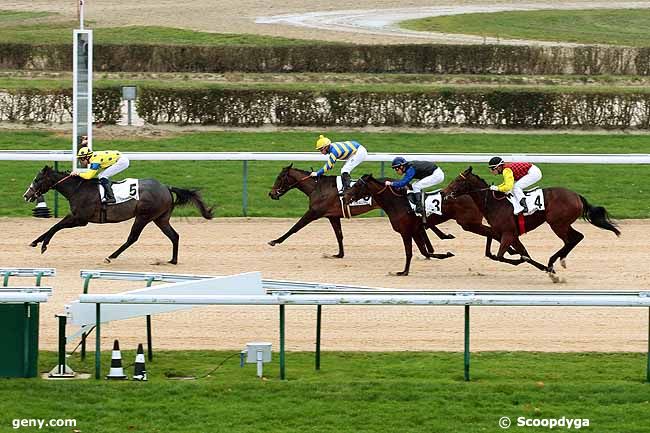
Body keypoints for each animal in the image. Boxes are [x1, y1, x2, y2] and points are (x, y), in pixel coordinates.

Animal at [23, 165, 213, 264]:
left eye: (37, 179)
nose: (27, 195)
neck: (78, 189)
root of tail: (166, 187)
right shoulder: (76, 217)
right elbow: (55, 226)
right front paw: (36, 242)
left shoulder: (80, 218)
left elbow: (56, 226)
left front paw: (43, 245)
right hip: (161, 218)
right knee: (174, 236)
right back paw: (173, 260)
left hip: (143, 216)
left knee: (132, 238)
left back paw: (111, 256)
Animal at [266, 164, 448, 258]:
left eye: (279, 178)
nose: (271, 194)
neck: (317, 187)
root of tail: (405, 183)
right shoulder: (332, 216)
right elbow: (339, 235)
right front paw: (339, 254)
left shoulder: (314, 212)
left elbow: (295, 227)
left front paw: (275, 241)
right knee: (422, 223)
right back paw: (432, 248)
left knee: (423, 221)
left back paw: (437, 243)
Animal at [442, 167, 620, 278]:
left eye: (457, 181)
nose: (443, 193)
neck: (494, 204)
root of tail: (577, 196)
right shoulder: (510, 234)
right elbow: (517, 254)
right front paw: (543, 268)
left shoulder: (508, 234)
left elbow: (502, 256)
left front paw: (531, 263)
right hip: (562, 224)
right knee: (577, 237)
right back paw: (556, 261)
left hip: (557, 224)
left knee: (573, 239)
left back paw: (554, 260)